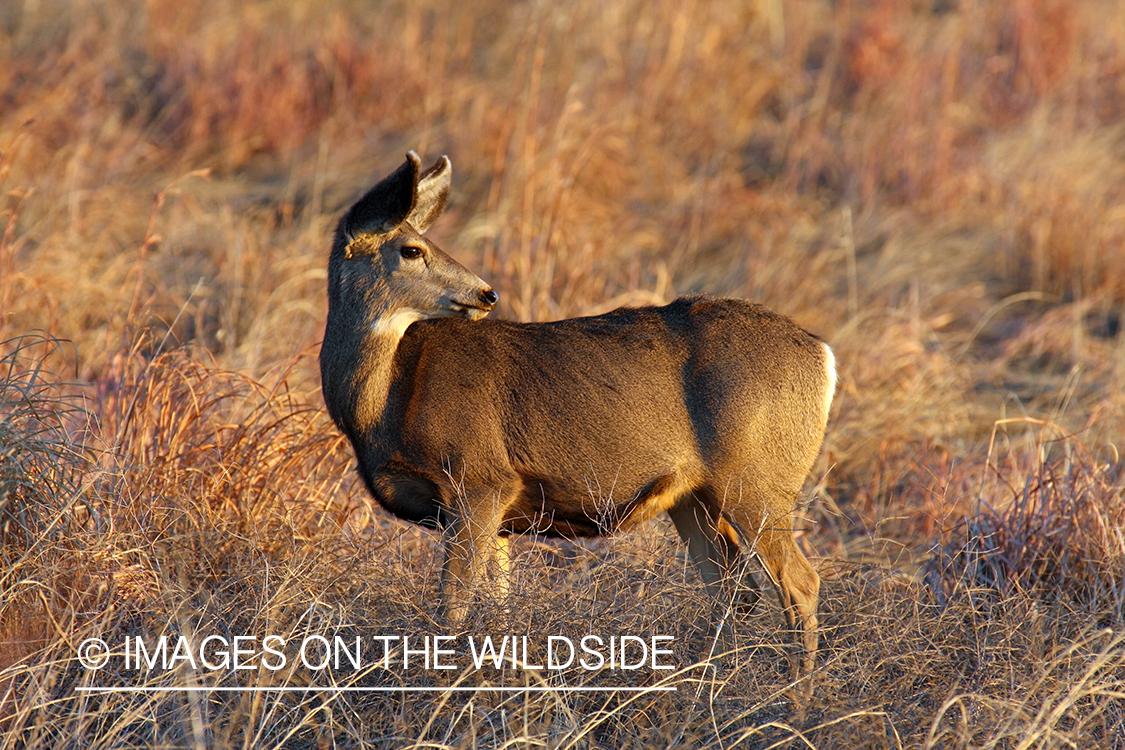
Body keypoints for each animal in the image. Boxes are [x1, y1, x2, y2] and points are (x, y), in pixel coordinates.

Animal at [317, 150, 837, 679]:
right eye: (411, 249)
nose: (487, 293)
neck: (382, 406)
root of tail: (823, 354)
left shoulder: (480, 478)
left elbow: (451, 608)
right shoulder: (498, 509)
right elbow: (498, 605)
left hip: (758, 477)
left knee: (799, 581)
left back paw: (794, 692)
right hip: (694, 496)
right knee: (734, 588)